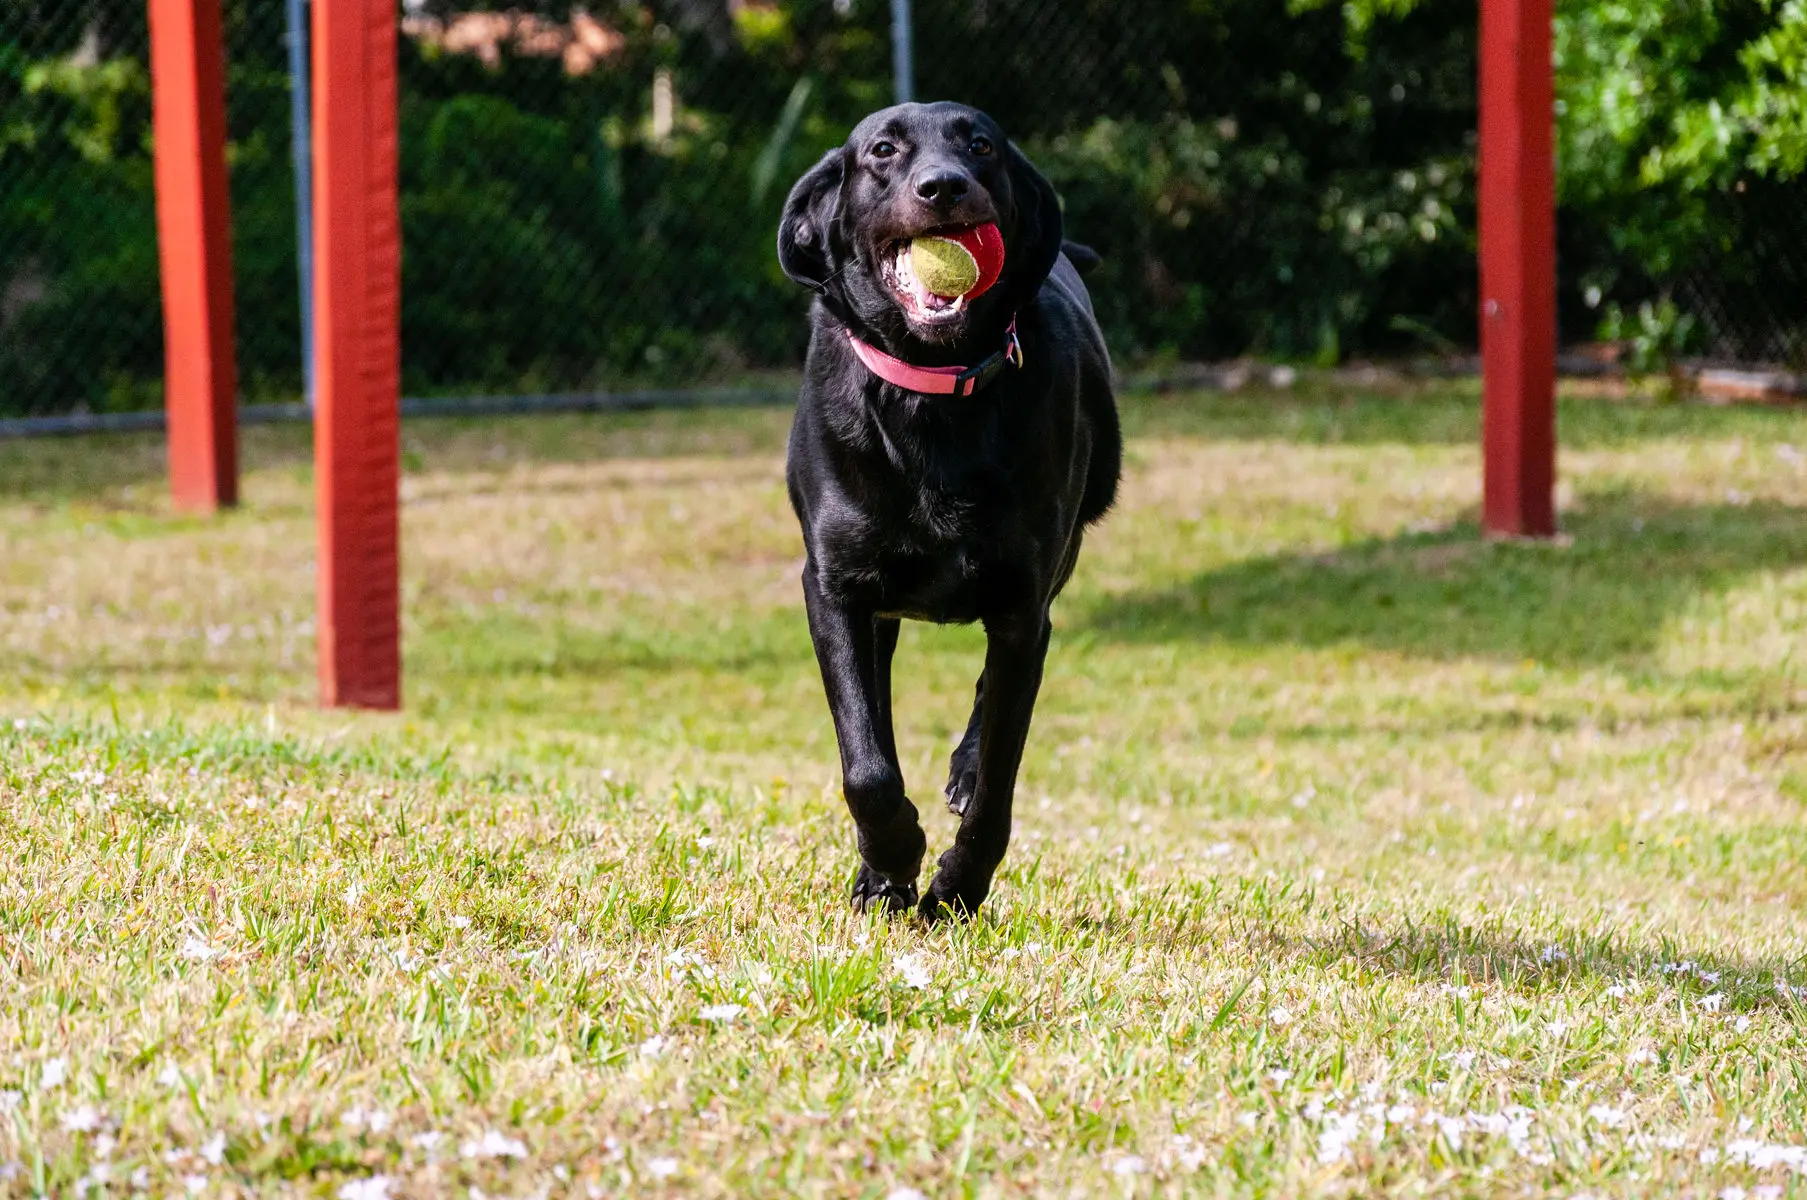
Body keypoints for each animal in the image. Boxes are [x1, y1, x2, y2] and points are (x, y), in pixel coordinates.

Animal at [773, 103, 1113, 918]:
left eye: (981, 145)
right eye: (882, 151)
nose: (943, 187)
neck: (930, 389)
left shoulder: (1021, 604)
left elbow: (996, 778)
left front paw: (957, 884)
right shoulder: (834, 590)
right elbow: (867, 764)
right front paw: (893, 857)